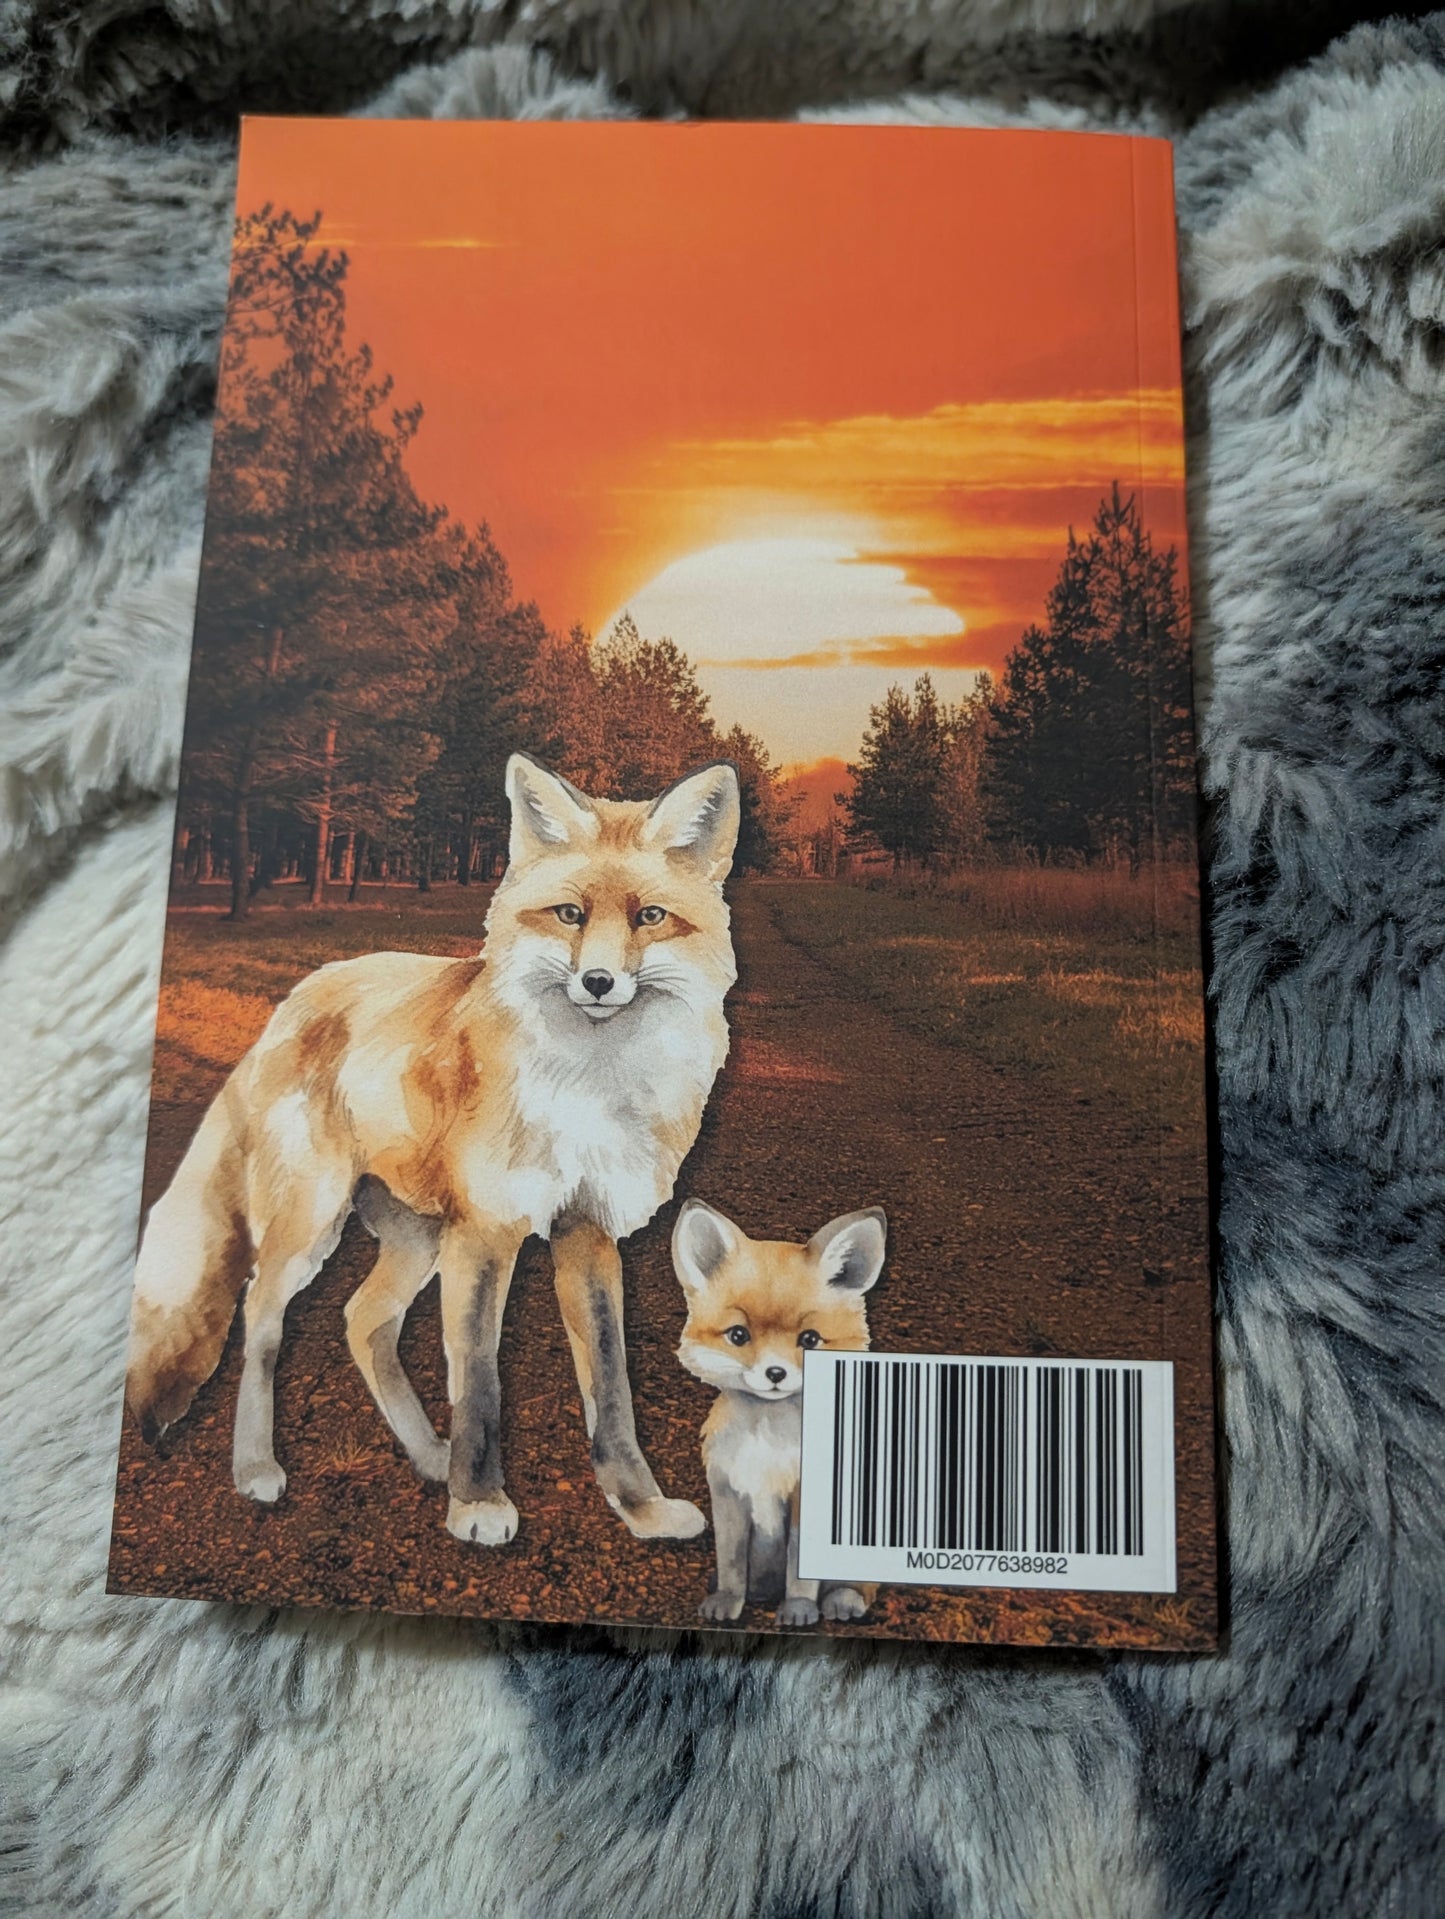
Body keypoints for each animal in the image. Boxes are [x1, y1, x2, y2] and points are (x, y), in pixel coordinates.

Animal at [125, 752, 740, 1548]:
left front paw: (640, 1506)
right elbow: (478, 1378)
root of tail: (296, 995)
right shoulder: (487, 1227)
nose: (599, 982)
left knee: (362, 1321)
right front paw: (477, 1502)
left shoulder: (586, 1228)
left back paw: (427, 1457)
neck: (589, 1085)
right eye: (570, 914)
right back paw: (257, 1466)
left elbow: (610, 1384)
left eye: (650, 917)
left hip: (417, 1236)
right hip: (315, 1223)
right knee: (260, 1316)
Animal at [673, 1198, 885, 1627]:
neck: (766, 1441)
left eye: (810, 1339)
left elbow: (800, 1567)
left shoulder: (806, 1499)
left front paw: (800, 1609)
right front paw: (728, 1600)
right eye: (739, 1335)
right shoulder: (728, 1493)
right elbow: (731, 1560)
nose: (775, 1373)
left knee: (859, 1585)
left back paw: (843, 1600)